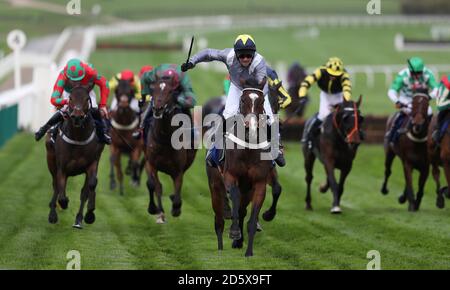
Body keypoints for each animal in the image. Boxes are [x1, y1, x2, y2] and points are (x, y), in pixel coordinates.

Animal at [45, 86, 105, 229]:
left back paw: (79, 219)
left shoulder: (92, 164)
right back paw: (53, 214)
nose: (77, 117)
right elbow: (61, 193)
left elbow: (90, 187)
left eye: (87, 99)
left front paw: (89, 214)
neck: (78, 137)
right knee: (55, 186)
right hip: (51, 161)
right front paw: (63, 204)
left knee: (86, 190)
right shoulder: (62, 168)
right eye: (71, 98)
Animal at [144, 76, 197, 223]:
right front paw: (160, 213)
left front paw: (176, 208)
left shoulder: (178, 170)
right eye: (154, 89)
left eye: (170, 92)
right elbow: (157, 186)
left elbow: (178, 190)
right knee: (150, 184)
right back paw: (153, 207)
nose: (158, 108)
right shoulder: (153, 164)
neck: (165, 138)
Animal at [207, 78, 272, 258]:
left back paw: (239, 242)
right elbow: (234, 199)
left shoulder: (259, 183)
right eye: (242, 100)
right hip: (215, 185)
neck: (248, 149)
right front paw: (234, 232)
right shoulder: (230, 176)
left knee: (242, 210)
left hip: (247, 190)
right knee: (219, 220)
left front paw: (248, 251)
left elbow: (252, 217)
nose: (251, 127)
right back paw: (221, 247)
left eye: (261, 101)